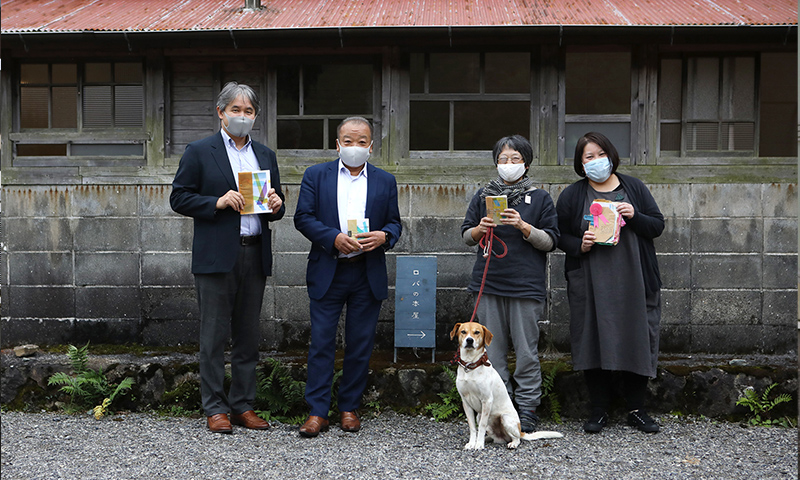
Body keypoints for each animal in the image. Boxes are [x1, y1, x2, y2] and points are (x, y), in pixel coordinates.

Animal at [450, 322, 564, 450]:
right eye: (463, 332)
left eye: (477, 332)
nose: (469, 340)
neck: (470, 366)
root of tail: (520, 430)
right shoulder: (466, 402)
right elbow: (473, 427)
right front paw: (472, 443)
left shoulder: (487, 400)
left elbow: (482, 426)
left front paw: (478, 444)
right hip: (479, 416)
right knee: (494, 437)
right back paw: (487, 439)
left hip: (505, 418)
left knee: (516, 438)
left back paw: (512, 443)